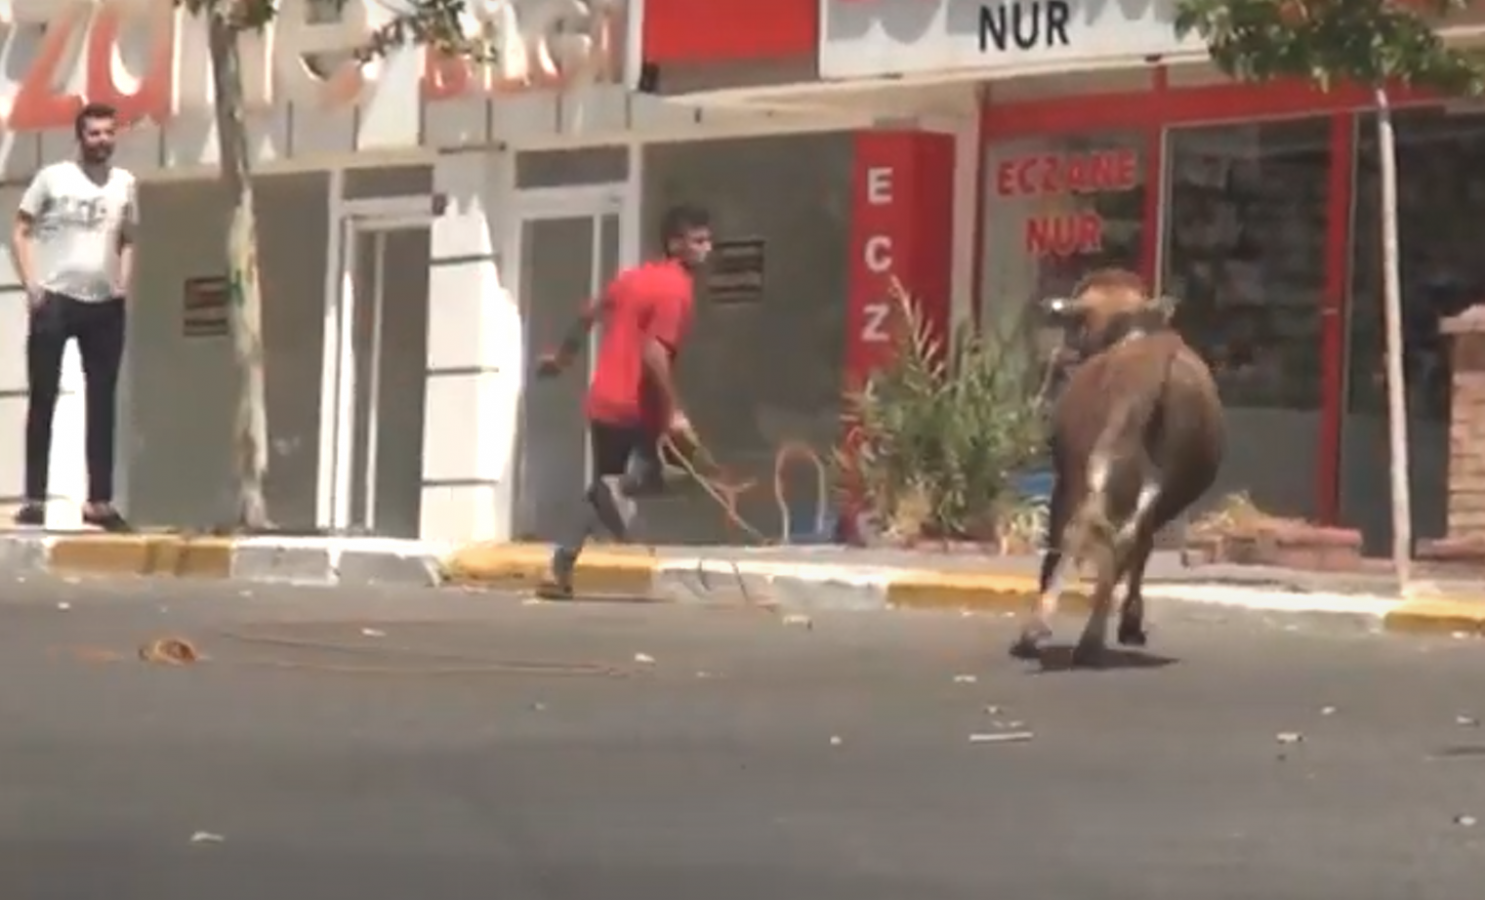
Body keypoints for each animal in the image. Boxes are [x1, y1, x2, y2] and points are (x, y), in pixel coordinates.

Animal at [1009, 267, 1229, 671]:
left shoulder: (1066, 476)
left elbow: (1058, 544)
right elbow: (1140, 550)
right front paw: (1130, 621)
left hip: (1090, 467)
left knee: (1084, 528)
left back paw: (1042, 630)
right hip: (1164, 482)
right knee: (1128, 538)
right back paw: (1096, 635)